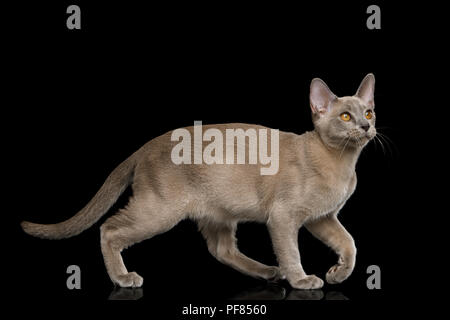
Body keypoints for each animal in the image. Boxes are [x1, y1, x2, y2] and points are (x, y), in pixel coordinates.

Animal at [21, 74, 376, 288]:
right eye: (346, 116)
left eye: (369, 113)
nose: (366, 126)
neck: (342, 164)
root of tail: (145, 146)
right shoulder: (284, 217)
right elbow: (291, 252)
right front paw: (302, 281)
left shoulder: (321, 218)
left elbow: (350, 243)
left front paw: (339, 273)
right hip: (159, 212)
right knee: (108, 229)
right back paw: (123, 277)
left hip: (220, 212)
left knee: (221, 249)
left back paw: (266, 271)